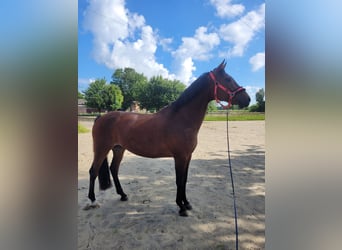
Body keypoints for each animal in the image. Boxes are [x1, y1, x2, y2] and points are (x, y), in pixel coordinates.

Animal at [87, 59, 250, 216]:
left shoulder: (188, 156)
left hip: (118, 149)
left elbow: (184, 180)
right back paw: (93, 201)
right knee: (93, 171)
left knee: (114, 169)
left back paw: (123, 195)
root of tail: (101, 117)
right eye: (228, 79)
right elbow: (179, 181)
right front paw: (181, 207)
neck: (181, 119)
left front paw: (187, 203)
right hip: (101, 149)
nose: (247, 99)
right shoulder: (180, 157)